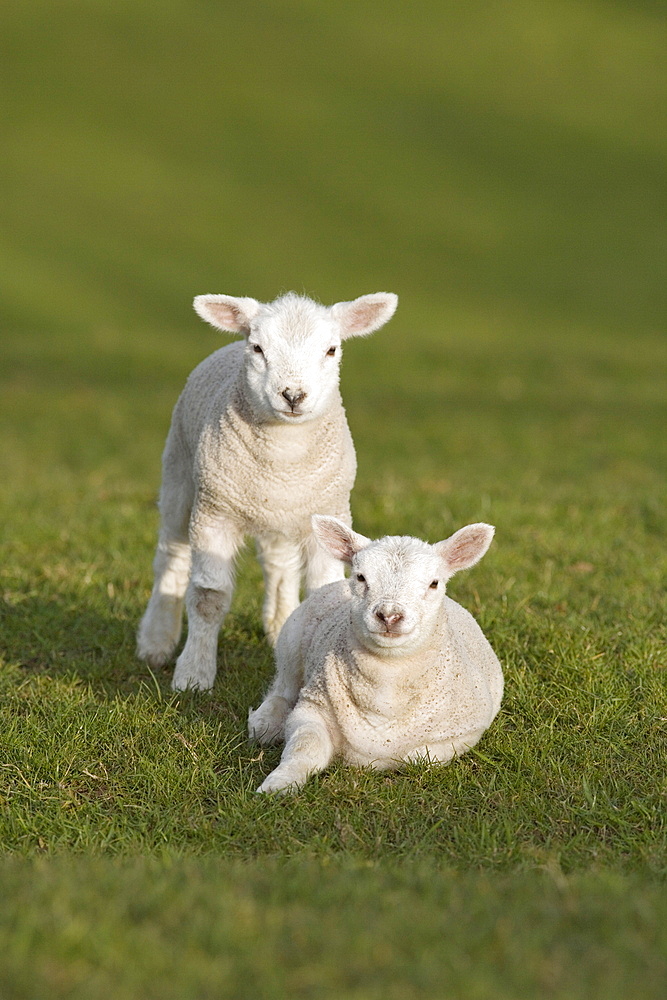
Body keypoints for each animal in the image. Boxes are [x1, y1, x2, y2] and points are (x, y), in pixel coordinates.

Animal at [136, 292, 396, 692]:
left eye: (332, 349)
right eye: (258, 348)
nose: (293, 395)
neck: (283, 461)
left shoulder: (327, 512)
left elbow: (322, 590)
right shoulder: (214, 513)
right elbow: (208, 597)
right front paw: (194, 675)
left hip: (281, 517)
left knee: (279, 565)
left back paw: (279, 626)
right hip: (179, 471)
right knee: (171, 555)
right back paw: (156, 640)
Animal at [248, 516, 504, 788]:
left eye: (434, 583)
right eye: (361, 577)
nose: (389, 615)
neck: (386, 692)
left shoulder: (465, 732)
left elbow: (418, 758)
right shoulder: (311, 709)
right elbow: (305, 748)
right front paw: (278, 783)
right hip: (290, 642)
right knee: (282, 689)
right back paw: (265, 724)